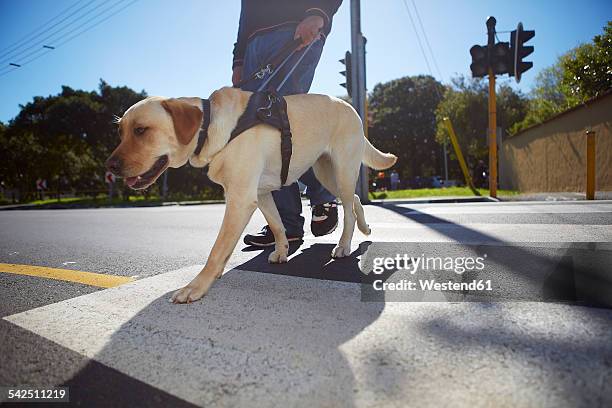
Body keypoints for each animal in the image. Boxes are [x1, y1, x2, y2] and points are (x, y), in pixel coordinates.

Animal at [106, 87, 396, 302]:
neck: (209, 127)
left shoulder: (239, 199)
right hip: (325, 171)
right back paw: (365, 228)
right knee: (355, 200)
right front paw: (281, 251)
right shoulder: (261, 194)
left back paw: (345, 245)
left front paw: (196, 286)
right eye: (120, 132)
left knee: (348, 207)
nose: (110, 166)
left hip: (342, 170)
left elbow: (217, 249)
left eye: (141, 130)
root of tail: (351, 108)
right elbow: (277, 226)